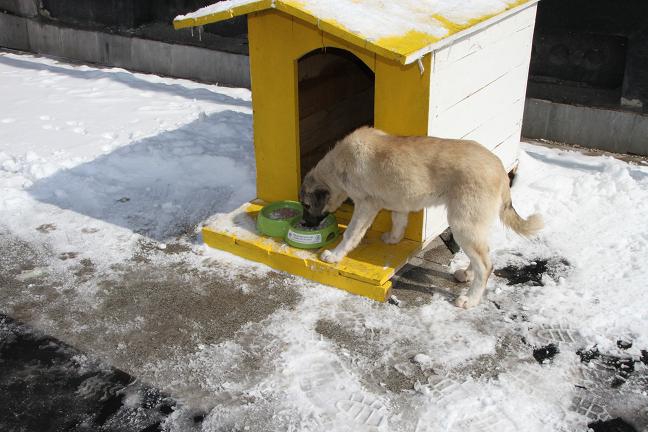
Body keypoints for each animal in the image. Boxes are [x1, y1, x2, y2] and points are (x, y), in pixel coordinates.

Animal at [302, 126, 544, 308]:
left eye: (306, 205)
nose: (305, 224)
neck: (339, 165)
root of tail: (500, 168)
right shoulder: (399, 202)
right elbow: (399, 221)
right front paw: (393, 239)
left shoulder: (365, 205)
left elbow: (351, 234)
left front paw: (335, 256)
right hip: (475, 227)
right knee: (483, 255)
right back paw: (467, 274)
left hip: (462, 225)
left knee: (486, 266)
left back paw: (470, 299)